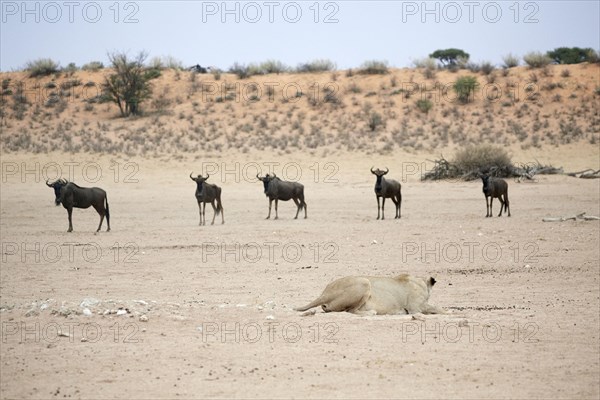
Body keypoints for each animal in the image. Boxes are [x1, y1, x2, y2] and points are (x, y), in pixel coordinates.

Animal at [292, 276, 442, 316]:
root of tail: (324, 293)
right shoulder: (415, 307)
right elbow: (439, 309)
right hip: (364, 282)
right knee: (351, 311)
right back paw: (371, 312)